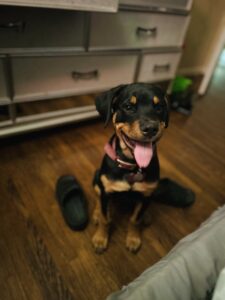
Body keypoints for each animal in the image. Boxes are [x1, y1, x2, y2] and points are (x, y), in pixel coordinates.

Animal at [92, 83, 169, 254]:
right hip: (97, 178)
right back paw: (96, 213)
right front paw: (100, 238)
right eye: (128, 106)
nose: (150, 128)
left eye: (159, 107)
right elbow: (105, 219)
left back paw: (146, 216)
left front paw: (133, 239)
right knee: (98, 197)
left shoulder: (146, 194)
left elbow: (135, 219)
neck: (132, 166)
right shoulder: (107, 191)